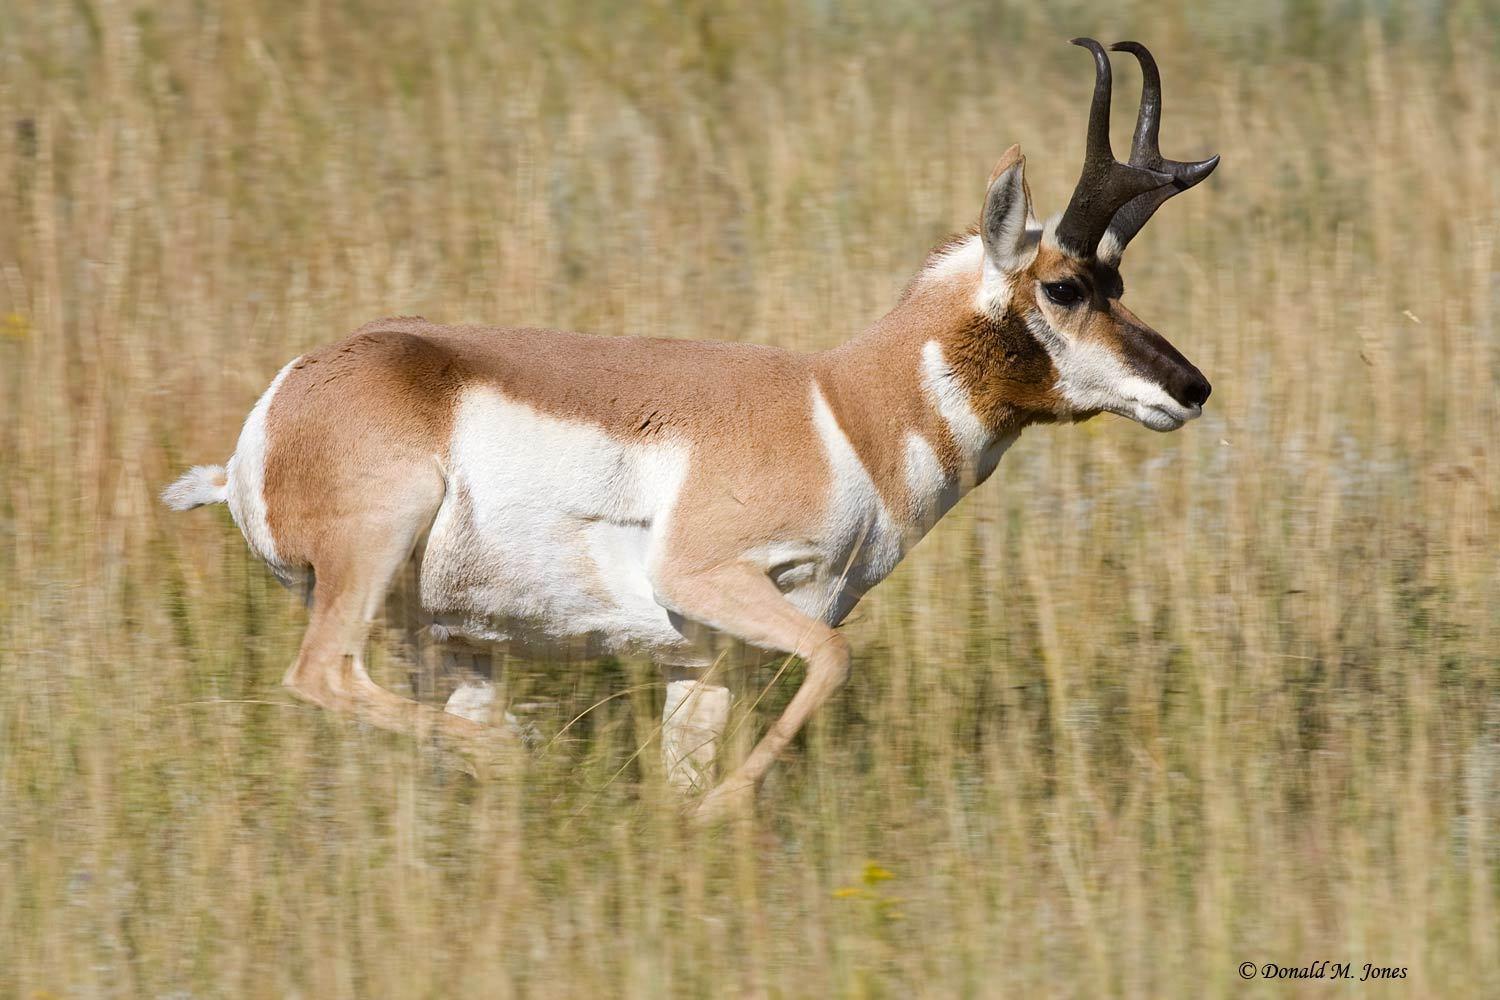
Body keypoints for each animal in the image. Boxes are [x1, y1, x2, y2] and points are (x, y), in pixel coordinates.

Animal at [164, 39, 1218, 821]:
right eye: (1066, 285)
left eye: (1120, 278)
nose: (1192, 387)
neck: (840, 405)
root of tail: (284, 403)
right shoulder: (710, 584)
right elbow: (833, 661)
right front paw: (716, 816)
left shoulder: (703, 657)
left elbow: (692, 763)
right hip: (381, 558)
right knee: (322, 677)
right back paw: (524, 751)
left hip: (454, 642)